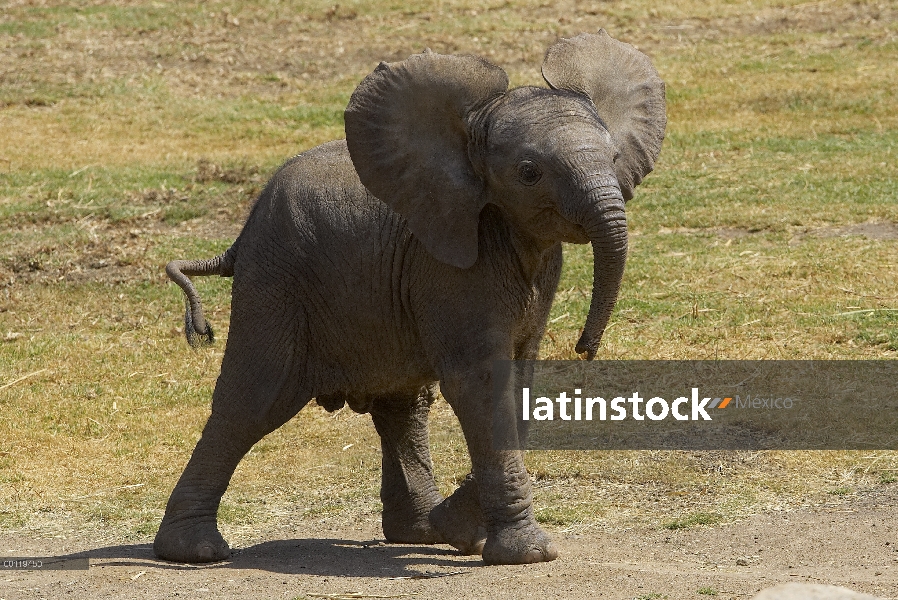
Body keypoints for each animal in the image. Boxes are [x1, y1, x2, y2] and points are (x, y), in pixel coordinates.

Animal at [152, 30, 664, 568]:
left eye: (614, 159)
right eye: (529, 172)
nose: (586, 347)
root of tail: (241, 235)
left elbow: (519, 377)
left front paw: (461, 530)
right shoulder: (449, 267)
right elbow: (481, 383)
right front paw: (524, 553)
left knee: (403, 409)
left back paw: (420, 532)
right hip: (275, 283)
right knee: (253, 401)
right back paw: (194, 551)